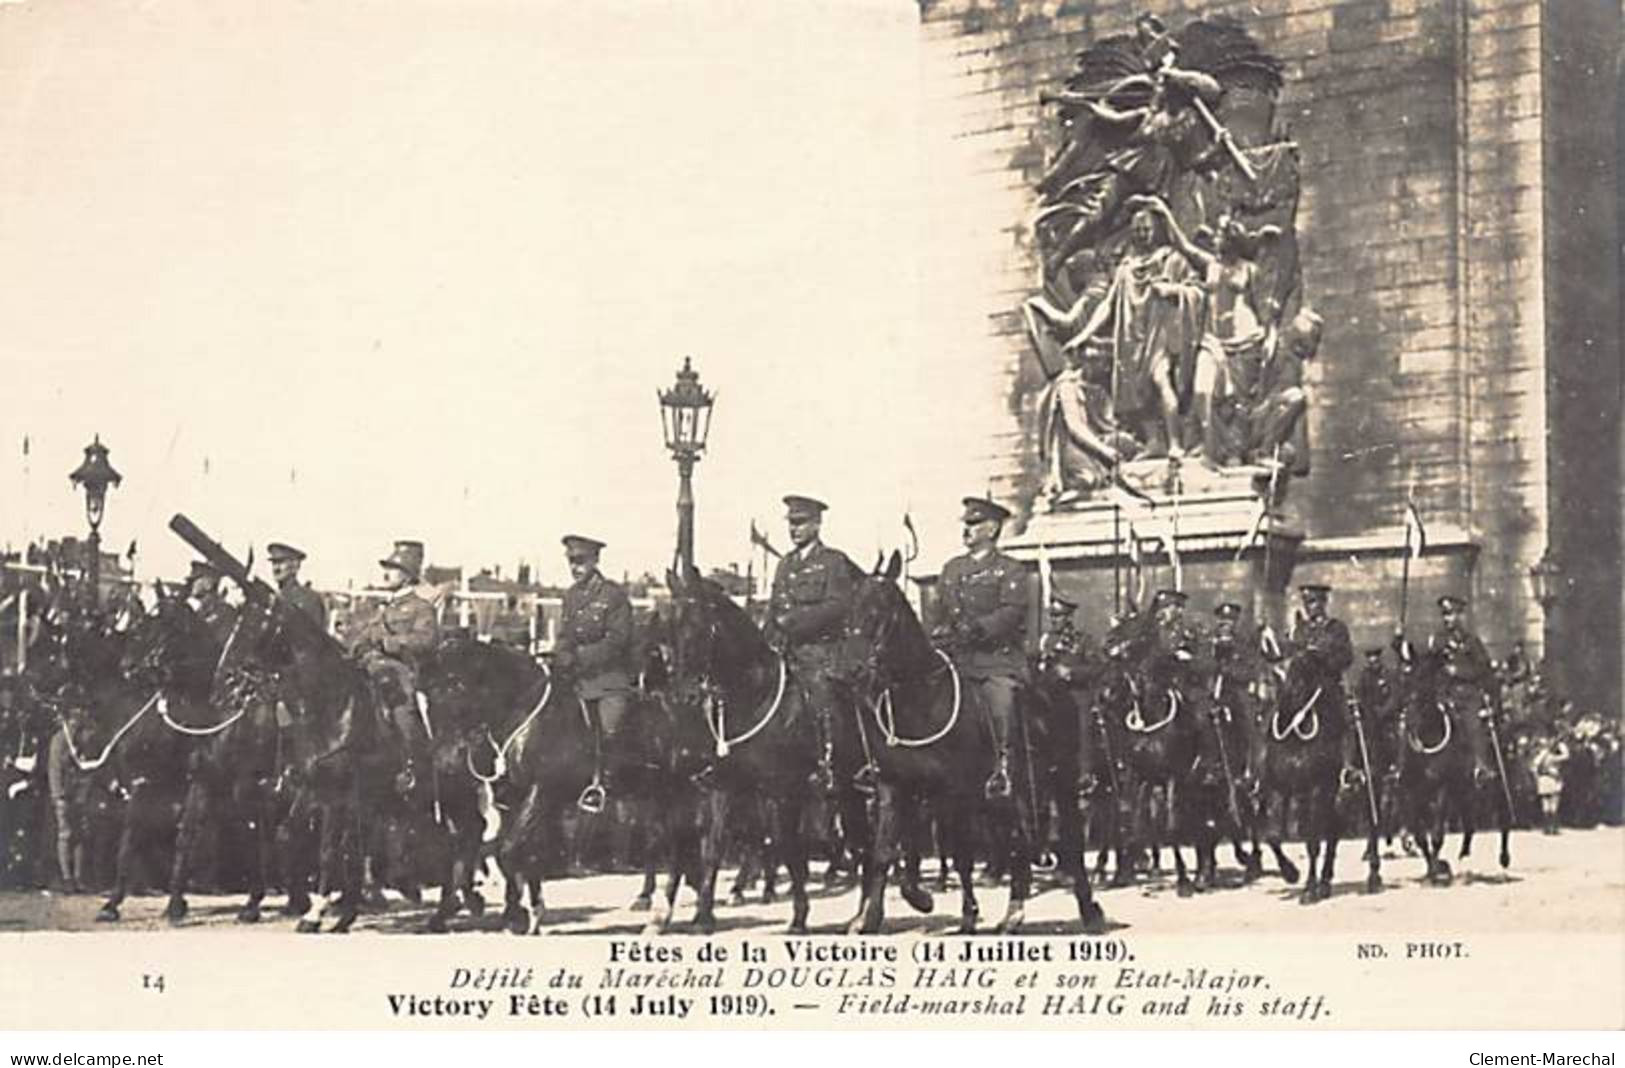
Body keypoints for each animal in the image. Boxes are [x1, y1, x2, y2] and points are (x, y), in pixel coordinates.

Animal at [845, 552, 1098, 929]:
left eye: (880, 608)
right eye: (849, 610)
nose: (851, 671)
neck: (922, 697)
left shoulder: (954, 792)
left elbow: (961, 854)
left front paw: (967, 914)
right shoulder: (897, 787)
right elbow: (885, 852)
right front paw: (882, 913)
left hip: (1060, 780)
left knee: (1069, 839)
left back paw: (1088, 909)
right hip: (1012, 792)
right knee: (1017, 839)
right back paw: (1014, 910)